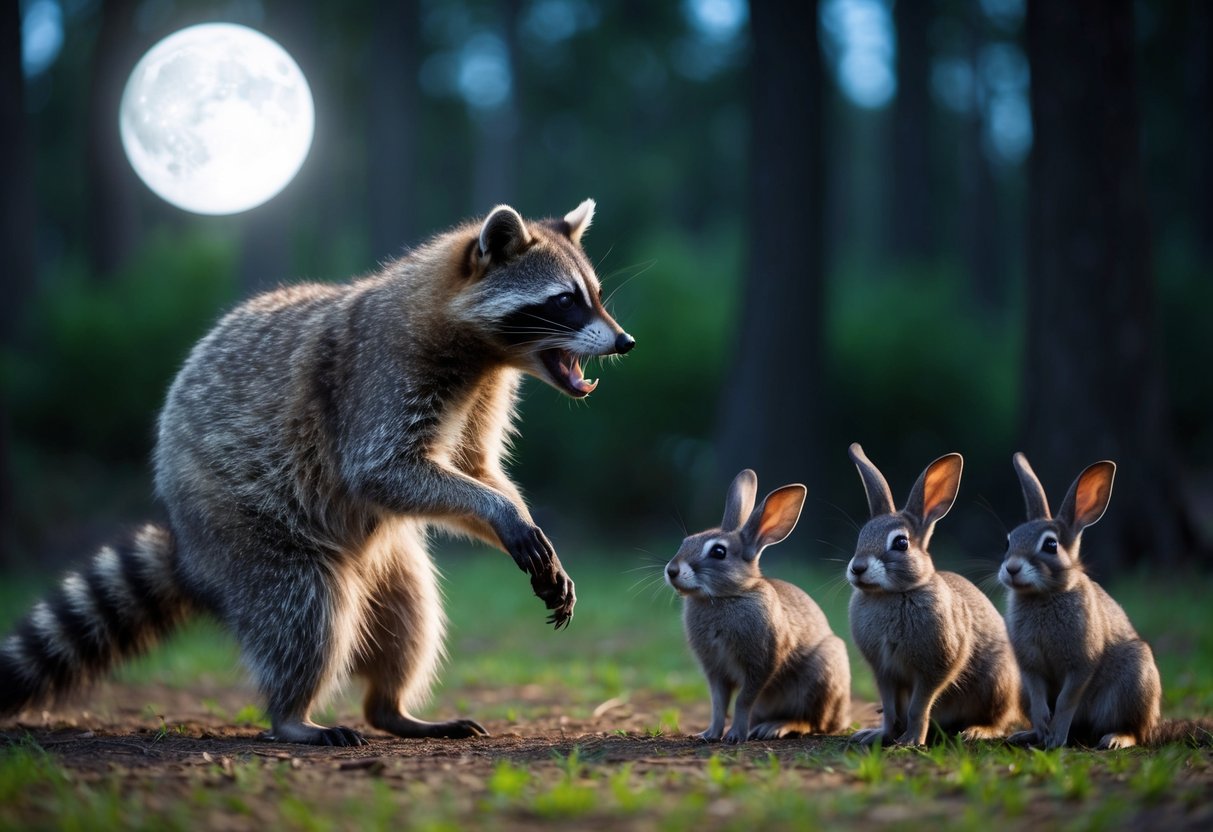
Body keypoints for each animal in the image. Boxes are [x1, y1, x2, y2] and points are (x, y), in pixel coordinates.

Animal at [0, 200, 634, 746]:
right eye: (564, 301)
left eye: (596, 295)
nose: (625, 341)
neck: (484, 352)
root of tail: (191, 553)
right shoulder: (382, 373)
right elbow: (380, 470)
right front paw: (501, 512)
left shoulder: (483, 393)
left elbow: (472, 467)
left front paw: (516, 514)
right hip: (248, 531)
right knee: (305, 612)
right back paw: (291, 715)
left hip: (387, 562)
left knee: (410, 617)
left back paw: (391, 708)